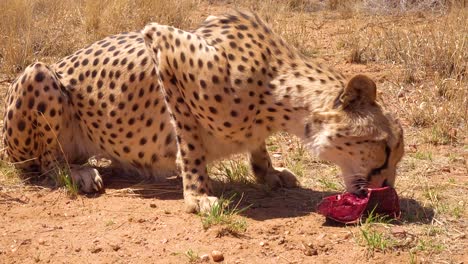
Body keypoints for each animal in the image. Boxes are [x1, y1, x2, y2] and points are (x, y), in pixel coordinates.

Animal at [1, 10, 404, 212]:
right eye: (386, 150)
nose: (387, 187)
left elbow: (257, 147)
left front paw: (268, 173)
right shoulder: (164, 44)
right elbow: (190, 141)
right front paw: (197, 195)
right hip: (38, 75)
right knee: (46, 163)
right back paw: (80, 173)